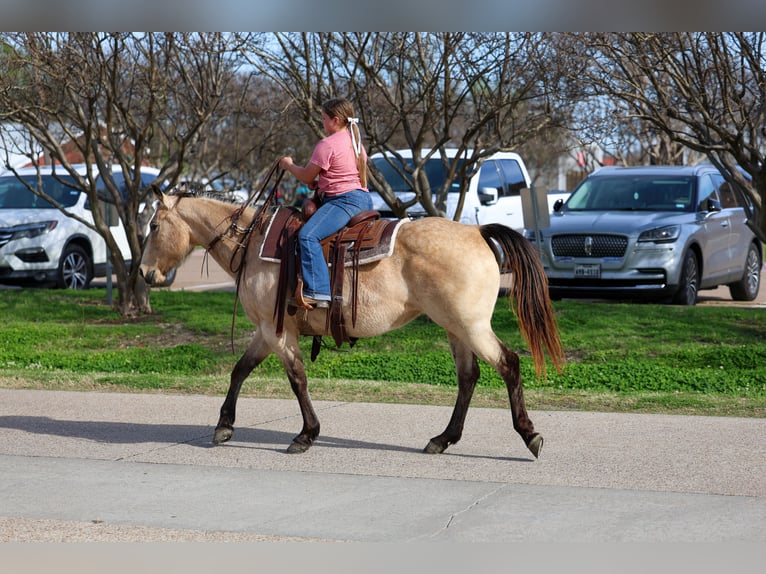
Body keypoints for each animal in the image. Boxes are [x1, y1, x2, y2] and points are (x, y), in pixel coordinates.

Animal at [140, 189, 564, 459]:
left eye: (154, 227)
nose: (145, 273)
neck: (255, 243)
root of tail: (477, 230)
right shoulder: (266, 331)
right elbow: (240, 370)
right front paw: (224, 426)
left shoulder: (277, 331)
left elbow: (296, 379)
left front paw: (306, 435)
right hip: (455, 328)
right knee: (468, 377)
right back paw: (443, 439)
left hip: (471, 326)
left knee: (508, 364)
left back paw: (530, 435)